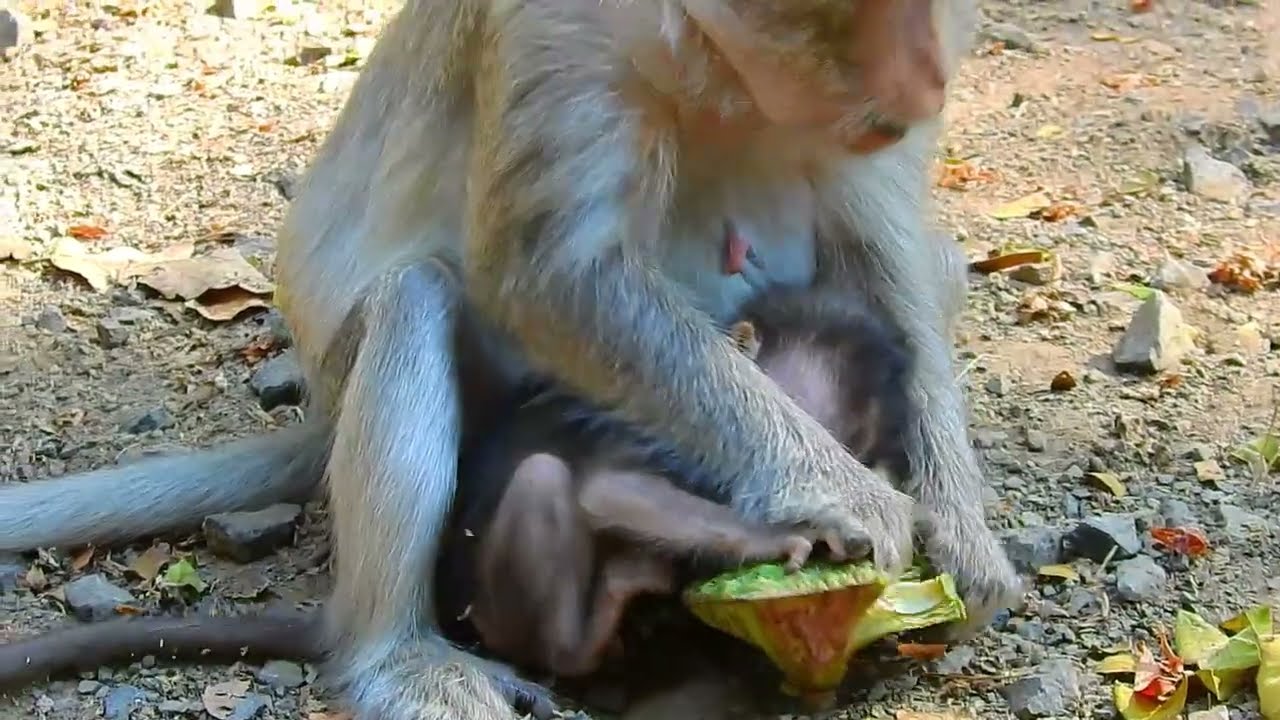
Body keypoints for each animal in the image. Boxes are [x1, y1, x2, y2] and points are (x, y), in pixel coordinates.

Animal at [0, 2, 1023, 718]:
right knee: (413, 302)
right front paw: (840, 492)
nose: (924, 80)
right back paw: (397, 653)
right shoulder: (559, 22)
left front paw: (960, 533)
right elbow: (552, 273)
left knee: (931, 260)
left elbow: (882, 236)